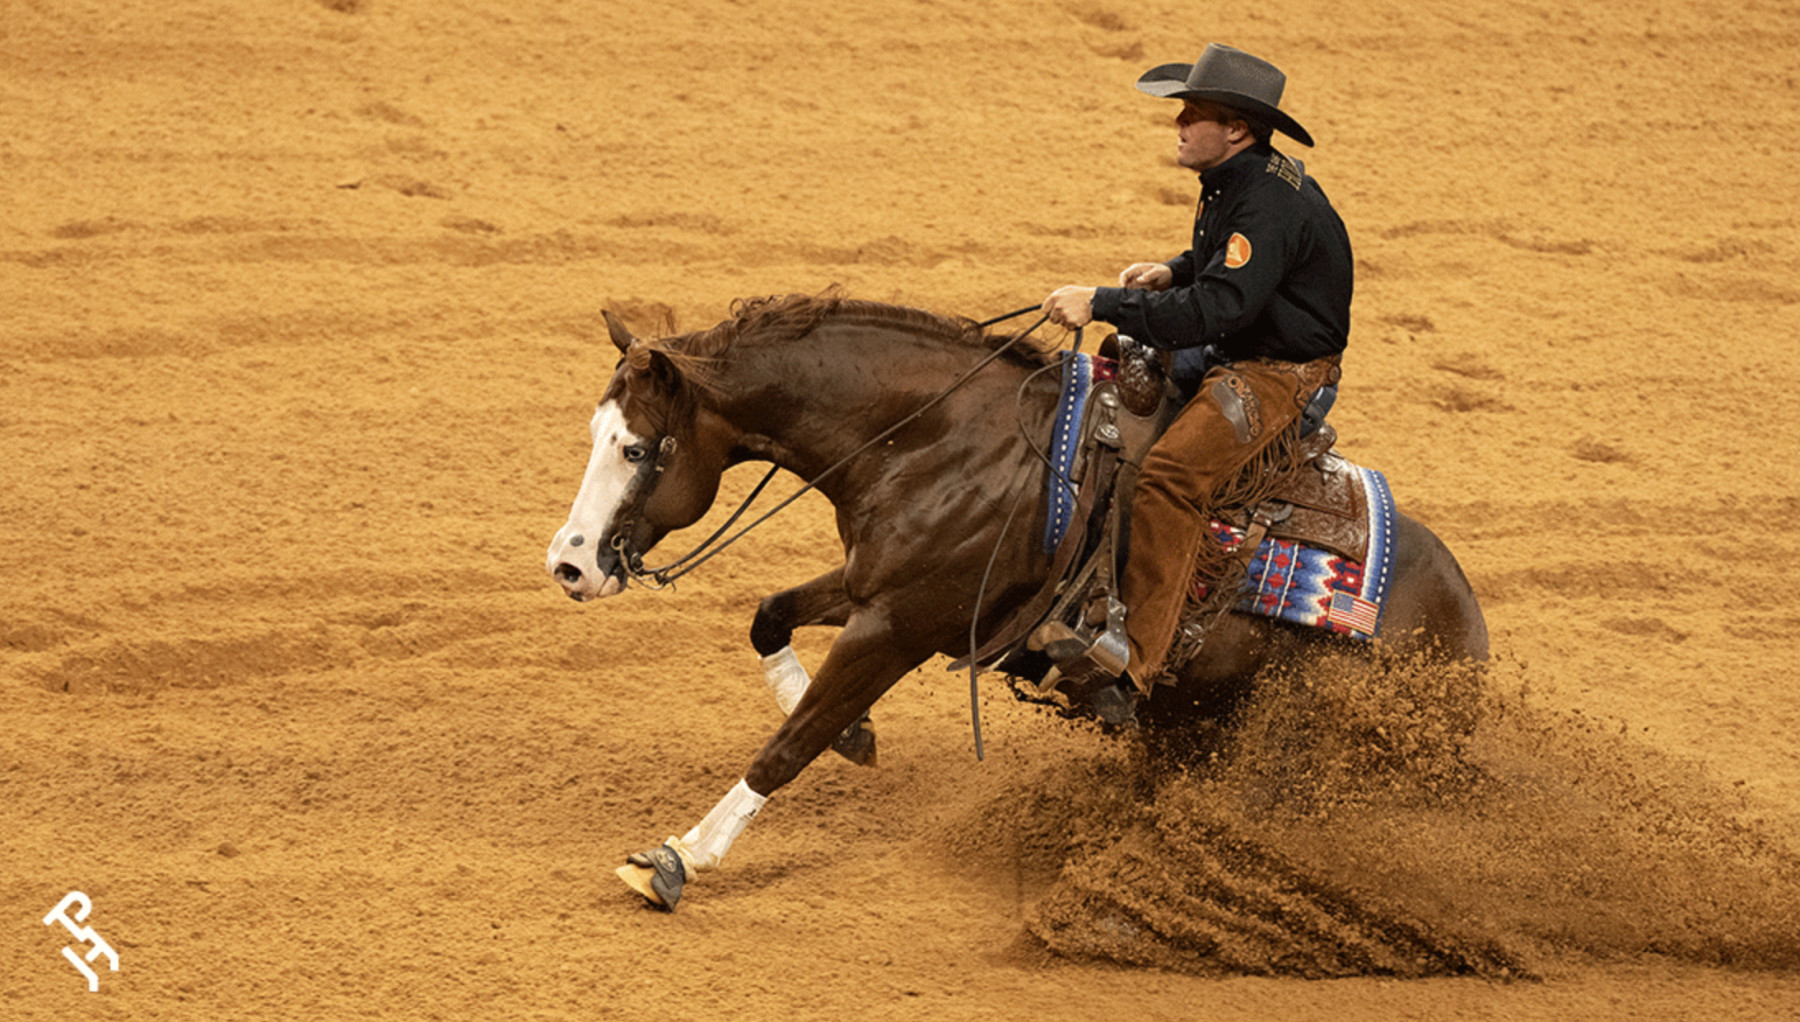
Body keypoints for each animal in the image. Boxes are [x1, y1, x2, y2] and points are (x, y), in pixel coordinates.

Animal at [544, 292, 1488, 910]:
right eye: (596, 434)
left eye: (637, 448)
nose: (569, 565)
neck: (939, 438)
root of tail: (1468, 633)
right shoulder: (877, 588)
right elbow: (768, 617)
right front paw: (856, 734)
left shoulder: (900, 625)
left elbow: (789, 746)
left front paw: (676, 857)